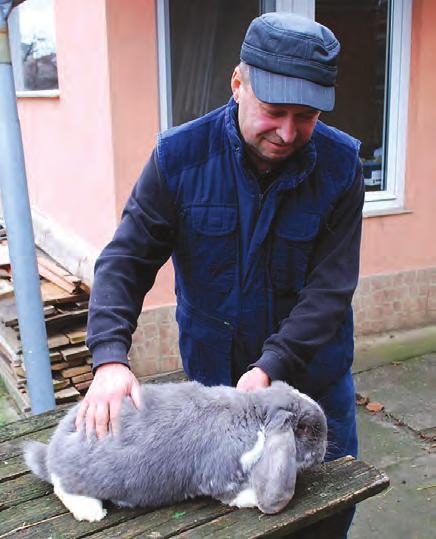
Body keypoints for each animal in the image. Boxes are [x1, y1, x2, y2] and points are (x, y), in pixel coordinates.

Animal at [23, 380, 324, 524]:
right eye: (306, 429)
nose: (322, 454)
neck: (256, 415)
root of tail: (51, 453)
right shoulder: (222, 473)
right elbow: (233, 495)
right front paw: (252, 499)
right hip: (80, 475)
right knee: (62, 487)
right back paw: (92, 512)